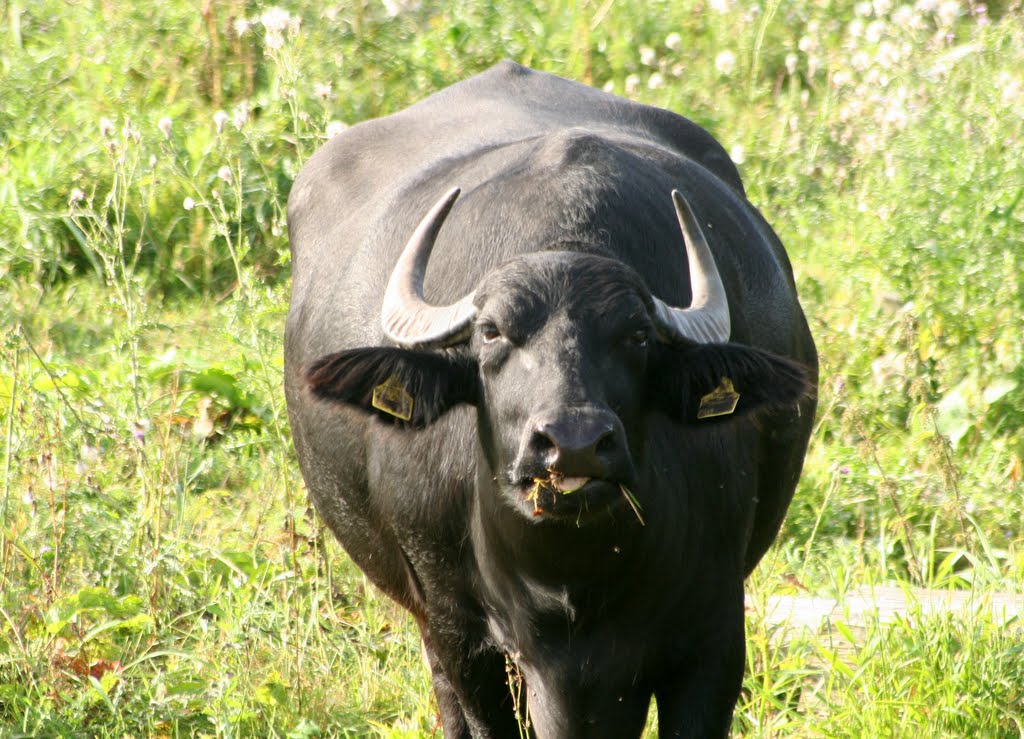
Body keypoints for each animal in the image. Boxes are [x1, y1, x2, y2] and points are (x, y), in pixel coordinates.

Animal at [284, 60, 819, 732]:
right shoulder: (464, 640)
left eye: (637, 336)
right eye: (491, 333)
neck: (570, 584)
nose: (574, 443)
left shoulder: (714, 634)